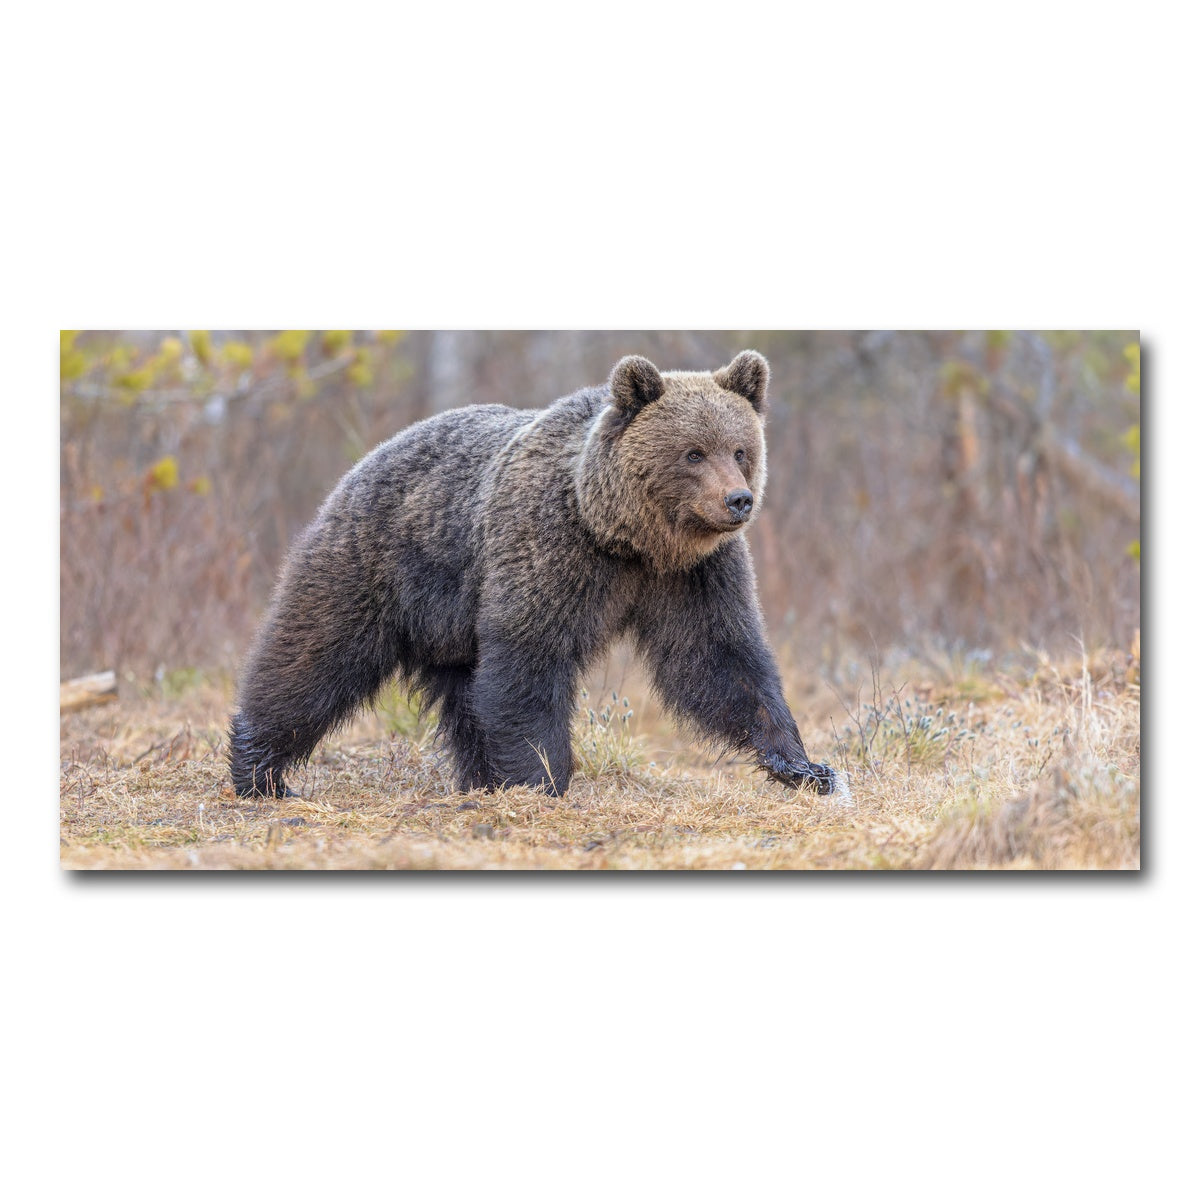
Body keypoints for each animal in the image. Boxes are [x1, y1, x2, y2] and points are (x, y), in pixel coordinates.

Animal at [228, 349, 837, 799]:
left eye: (740, 449)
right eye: (693, 452)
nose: (738, 501)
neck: (626, 536)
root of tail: (367, 458)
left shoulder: (695, 574)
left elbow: (720, 658)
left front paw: (805, 766)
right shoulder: (551, 547)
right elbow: (530, 657)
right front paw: (544, 778)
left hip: (452, 625)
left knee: (465, 696)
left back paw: (479, 780)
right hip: (378, 565)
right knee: (313, 657)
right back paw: (260, 770)